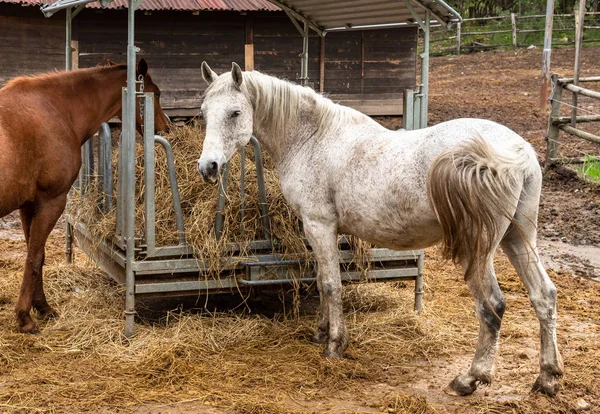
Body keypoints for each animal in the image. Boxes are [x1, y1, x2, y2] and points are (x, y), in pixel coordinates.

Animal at [0, 57, 169, 334]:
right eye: (155, 93)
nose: (166, 126)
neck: (57, 109)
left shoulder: (28, 205)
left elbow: (35, 256)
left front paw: (41, 306)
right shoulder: (51, 202)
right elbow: (35, 258)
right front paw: (25, 317)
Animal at [197, 60, 564, 394]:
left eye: (234, 113)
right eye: (204, 113)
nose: (208, 167)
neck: (312, 139)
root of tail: (517, 152)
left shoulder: (320, 226)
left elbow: (331, 285)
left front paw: (335, 344)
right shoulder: (320, 231)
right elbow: (322, 282)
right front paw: (320, 333)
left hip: (480, 248)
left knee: (492, 306)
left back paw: (470, 378)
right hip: (518, 237)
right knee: (543, 295)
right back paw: (547, 378)